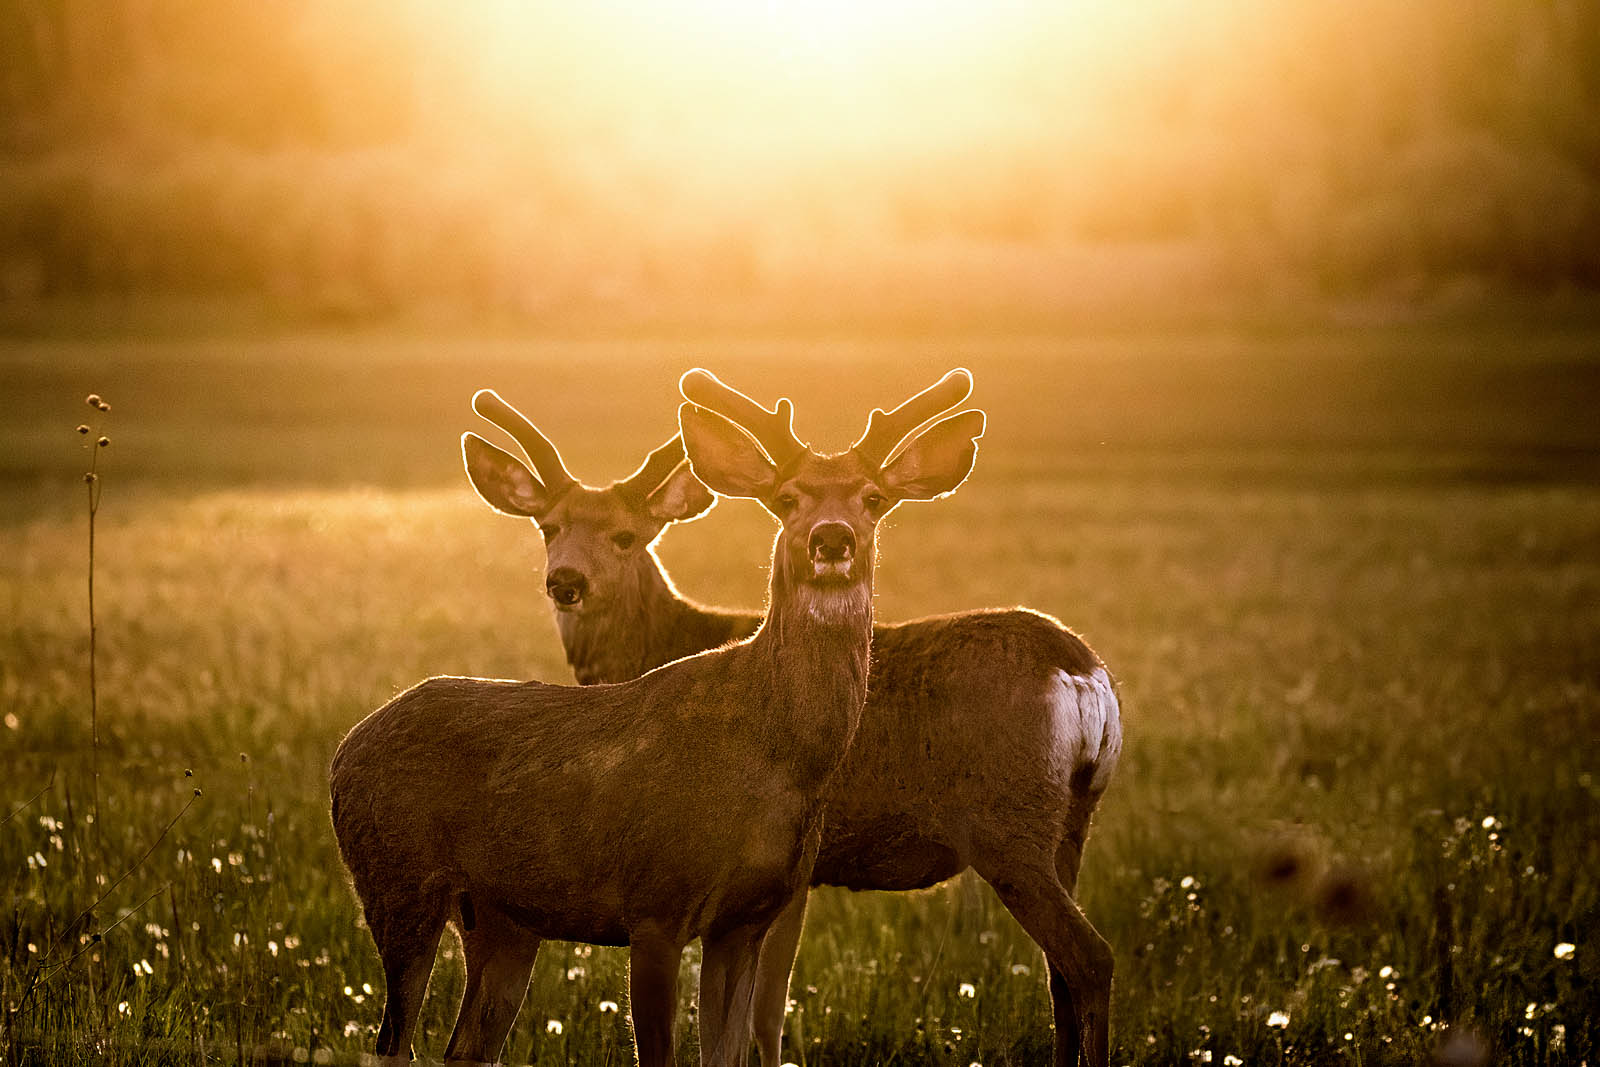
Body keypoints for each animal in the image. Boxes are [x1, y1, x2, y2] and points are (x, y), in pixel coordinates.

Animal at [330, 368, 985, 1067]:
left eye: (874, 498)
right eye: (786, 498)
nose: (831, 538)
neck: (777, 756)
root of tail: (345, 749)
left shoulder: (746, 920)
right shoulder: (653, 906)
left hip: (503, 918)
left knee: (465, 1048)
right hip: (397, 881)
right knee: (393, 1043)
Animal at [463, 377, 1122, 1067]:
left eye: (625, 536)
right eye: (548, 527)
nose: (567, 581)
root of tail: (1082, 672)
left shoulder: (792, 869)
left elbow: (766, 1007)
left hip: (1006, 823)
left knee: (1089, 957)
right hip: (1072, 822)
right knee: (1058, 968)